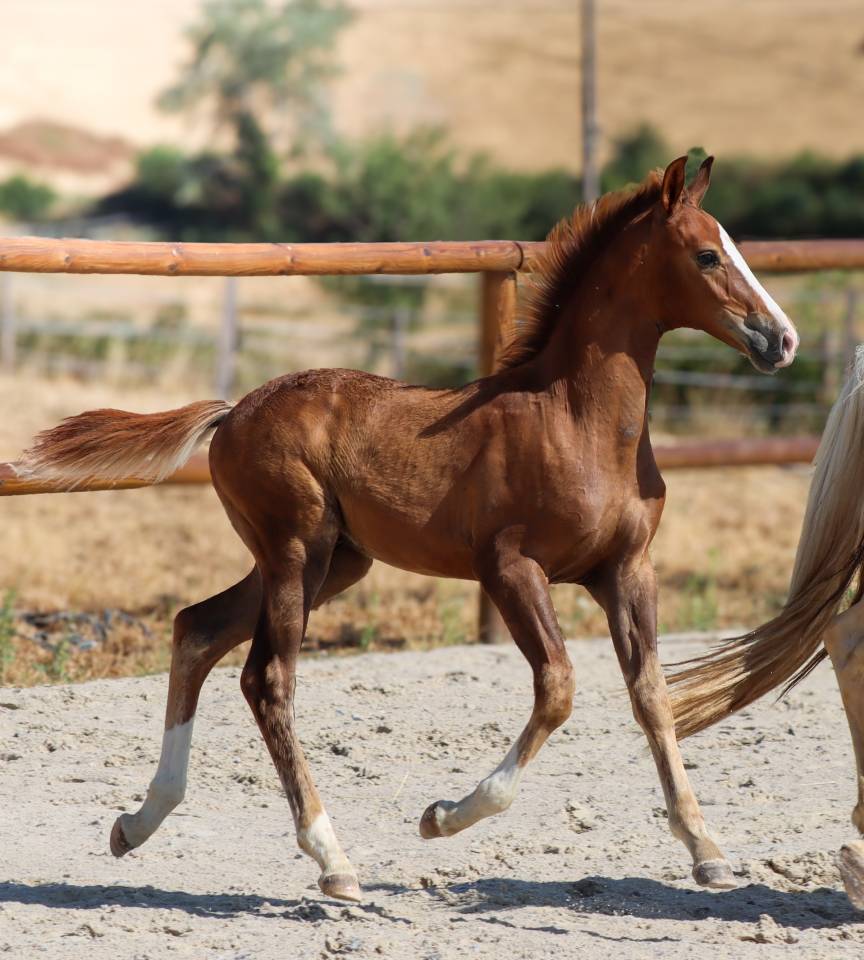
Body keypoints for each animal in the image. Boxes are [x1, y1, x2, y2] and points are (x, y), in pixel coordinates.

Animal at [15, 156, 798, 903]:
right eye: (706, 254)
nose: (782, 339)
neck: (576, 419)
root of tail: (233, 411)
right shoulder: (509, 568)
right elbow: (558, 687)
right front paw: (444, 815)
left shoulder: (628, 569)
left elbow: (654, 696)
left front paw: (707, 850)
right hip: (296, 552)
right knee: (267, 678)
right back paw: (332, 861)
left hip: (334, 562)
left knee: (196, 629)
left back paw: (138, 822)